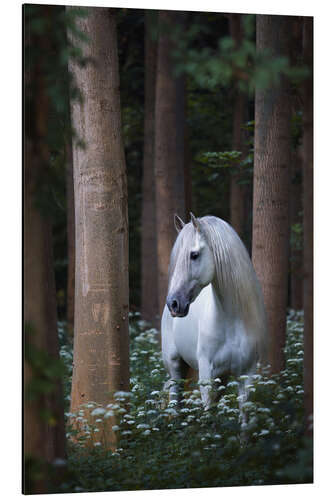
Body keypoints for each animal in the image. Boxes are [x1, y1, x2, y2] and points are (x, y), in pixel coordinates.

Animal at [161, 213, 268, 412]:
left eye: (194, 255)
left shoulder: (246, 375)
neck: (232, 322)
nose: (173, 303)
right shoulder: (207, 377)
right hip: (175, 366)